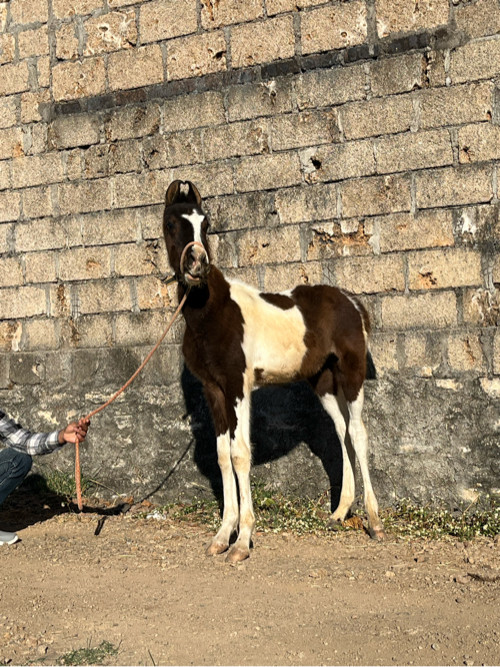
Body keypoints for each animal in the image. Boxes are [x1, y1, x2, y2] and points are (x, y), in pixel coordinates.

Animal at [162, 179, 384, 564]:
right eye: (172, 223)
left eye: (206, 225)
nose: (198, 263)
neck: (212, 312)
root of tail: (353, 302)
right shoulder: (214, 390)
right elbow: (222, 456)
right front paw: (222, 536)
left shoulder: (238, 387)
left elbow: (240, 454)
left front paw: (242, 542)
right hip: (323, 382)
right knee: (341, 431)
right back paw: (340, 513)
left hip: (351, 373)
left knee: (358, 433)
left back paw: (374, 521)